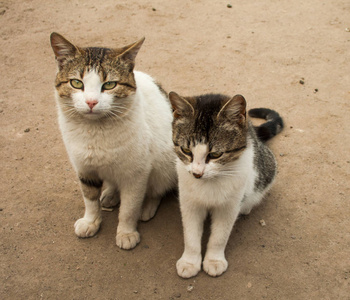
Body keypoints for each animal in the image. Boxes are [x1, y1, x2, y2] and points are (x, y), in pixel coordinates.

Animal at [50, 32, 176, 250]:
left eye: (109, 85)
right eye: (76, 83)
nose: (91, 102)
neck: (95, 132)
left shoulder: (136, 174)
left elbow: (129, 207)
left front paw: (126, 233)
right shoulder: (84, 167)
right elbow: (89, 198)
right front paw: (91, 221)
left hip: (165, 164)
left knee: (157, 188)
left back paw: (147, 206)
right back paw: (110, 194)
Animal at [168, 92, 284, 278]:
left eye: (216, 154)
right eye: (186, 151)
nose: (197, 173)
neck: (210, 183)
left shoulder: (229, 205)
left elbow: (220, 236)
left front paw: (214, 261)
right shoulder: (189, 202)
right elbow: (191, 234)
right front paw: (189, 262)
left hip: (266, 168)